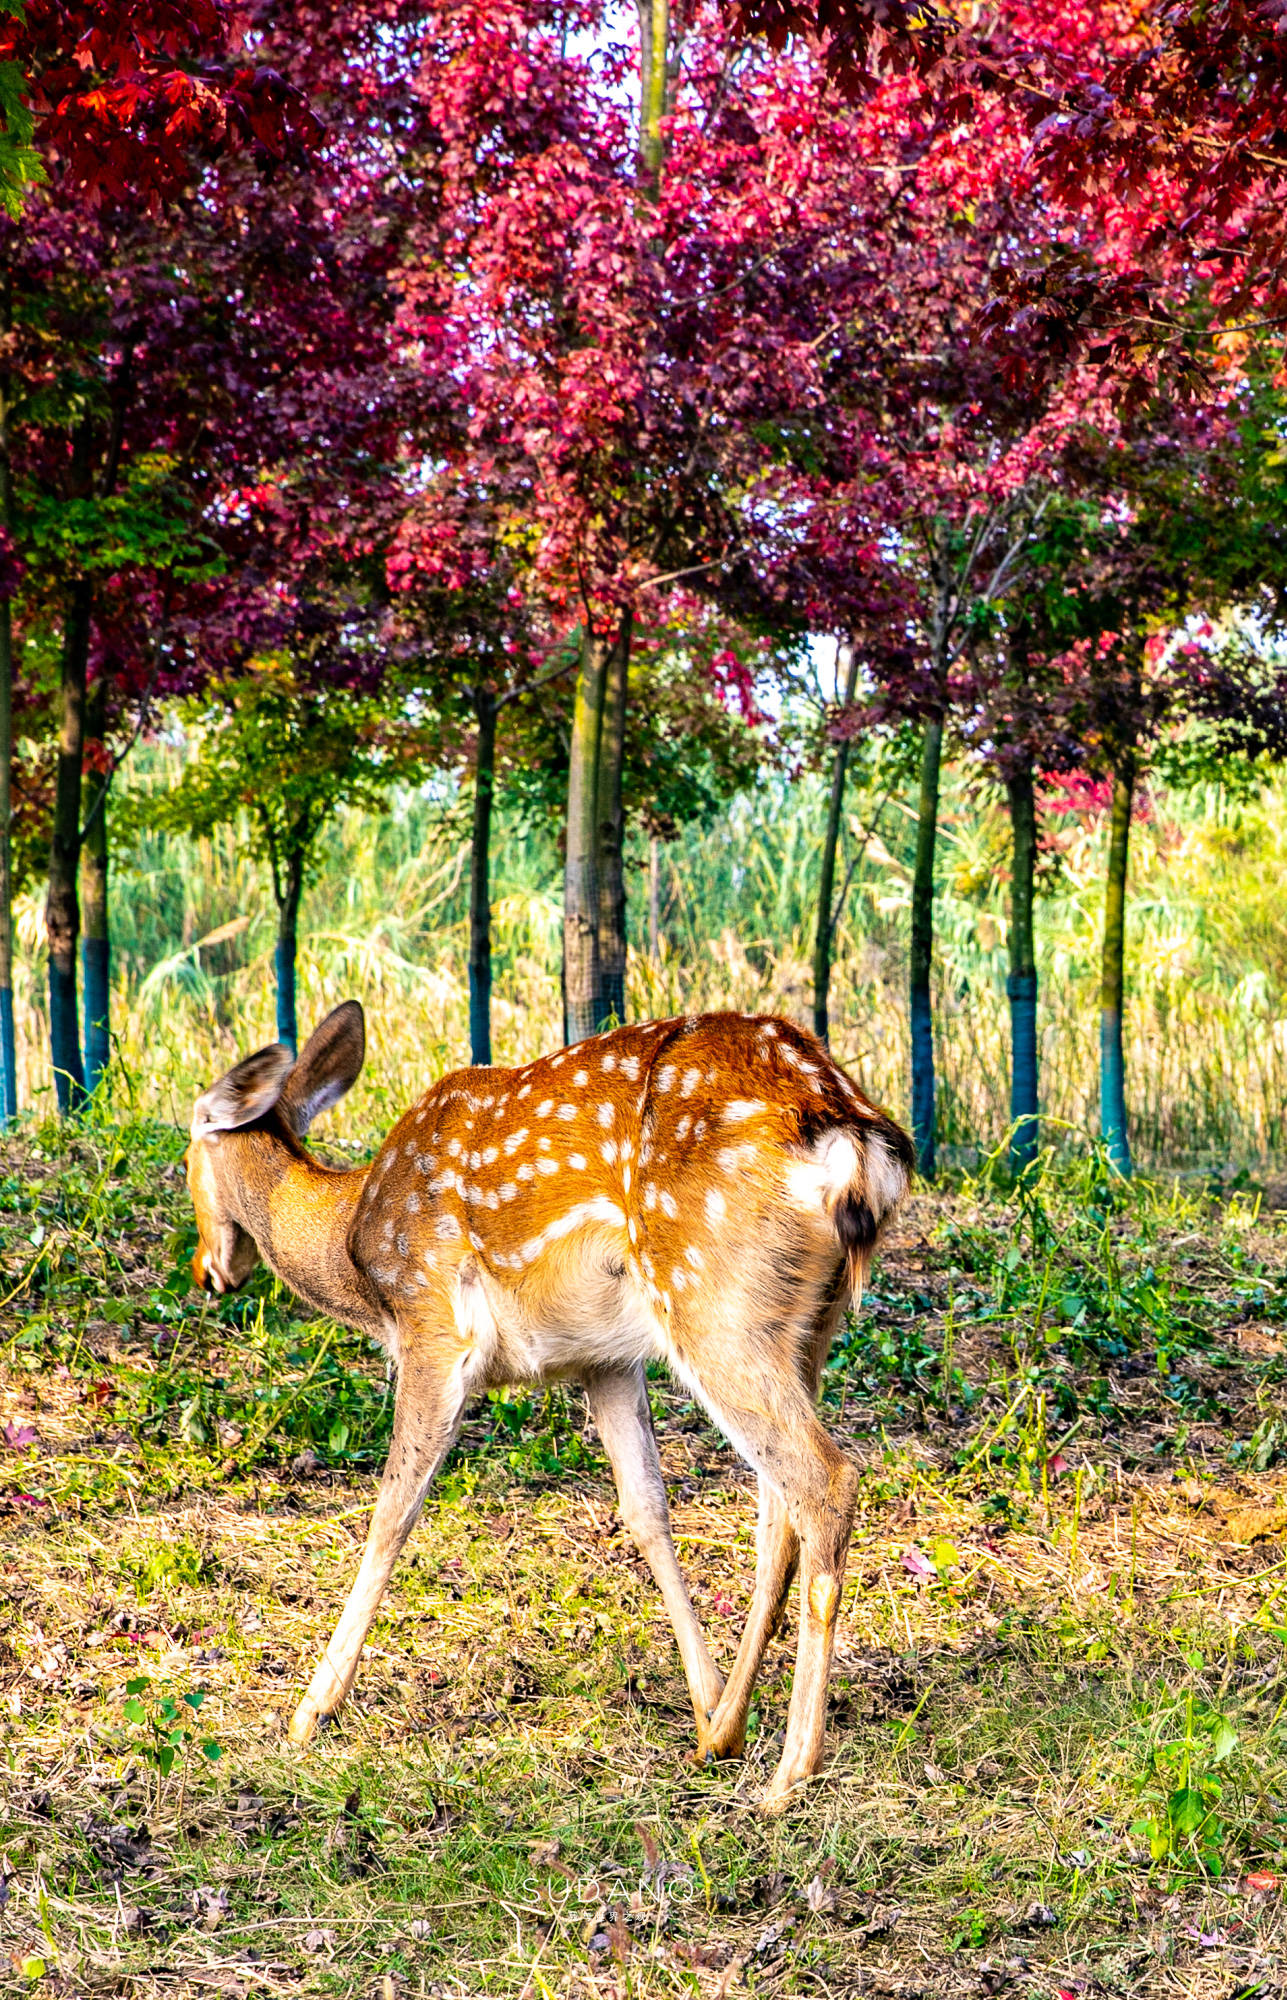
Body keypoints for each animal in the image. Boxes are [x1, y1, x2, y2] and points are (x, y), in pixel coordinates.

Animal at [188, 1000, 915, 1816]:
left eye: (193, 1136)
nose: (207, 1269)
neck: (356, 1252)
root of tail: (852, 1139)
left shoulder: (433, 1326)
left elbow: (392, 1512)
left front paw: (311, 1711)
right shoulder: (605, 1359)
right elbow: (645, 1510)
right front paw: (704, 1705)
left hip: (710, 1297)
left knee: (825, 1481)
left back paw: (789, 1776)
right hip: (801, 1328)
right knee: (778, 1514)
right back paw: (727, 1729)